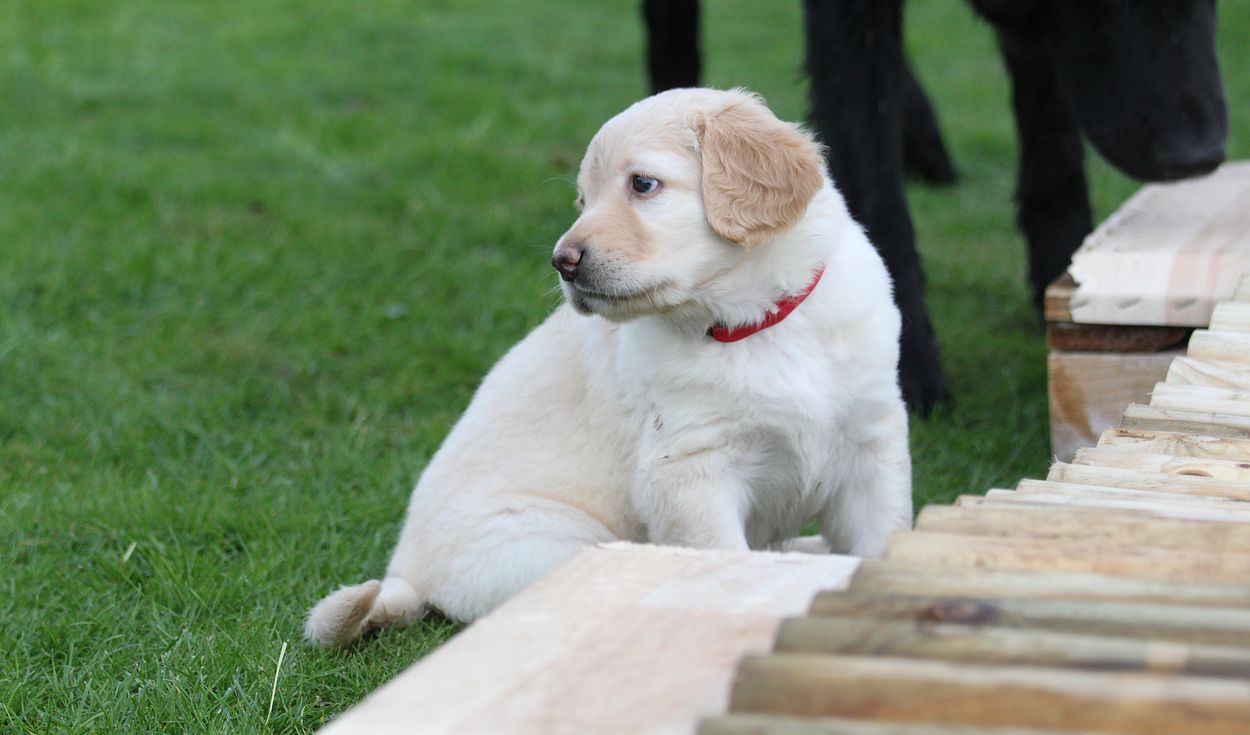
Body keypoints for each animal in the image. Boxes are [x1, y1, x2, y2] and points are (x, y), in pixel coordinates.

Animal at [305, 88, 912, 648]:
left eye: (642, 184)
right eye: (583, 199)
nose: (562, 262)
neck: (755, 324)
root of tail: (404, 575)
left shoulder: (872, 444)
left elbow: (884, 542)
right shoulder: (689, 471)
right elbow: (723, 560)